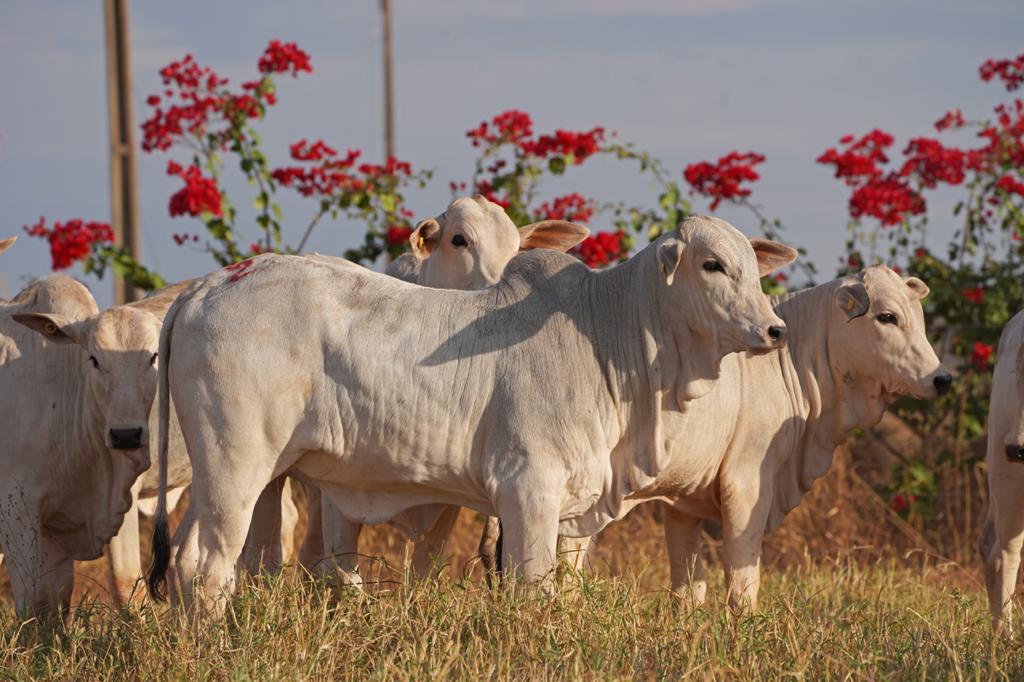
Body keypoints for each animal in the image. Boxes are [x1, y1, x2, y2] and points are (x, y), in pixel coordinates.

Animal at [149, 214, 790, 610]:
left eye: (752, 267)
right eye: (712, 265)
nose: (775, 329)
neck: (606, 331)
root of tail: (205, 288)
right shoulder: (529, 488)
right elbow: (532, 589)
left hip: (233, 475)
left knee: (203, 561)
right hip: (235, 466)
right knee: (208, 567)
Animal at [520, 264, 950, 606]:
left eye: (919, 316)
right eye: (887, 316)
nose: (942, 378)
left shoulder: (684, 498)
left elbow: (688, 586)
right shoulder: (746, 485)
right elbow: (742, 582)